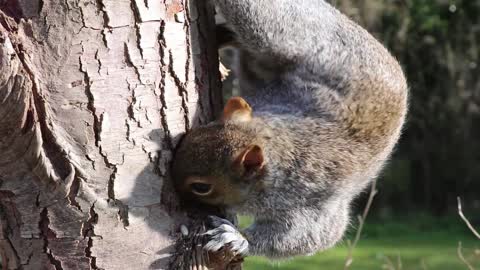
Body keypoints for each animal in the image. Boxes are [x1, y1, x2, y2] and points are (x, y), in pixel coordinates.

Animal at [171, 0, 406, 260]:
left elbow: (311, 235)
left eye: (201, 187)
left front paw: (238, 238)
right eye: (198, 130)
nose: (172, 186)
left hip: (284, 35)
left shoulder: (310, 202)